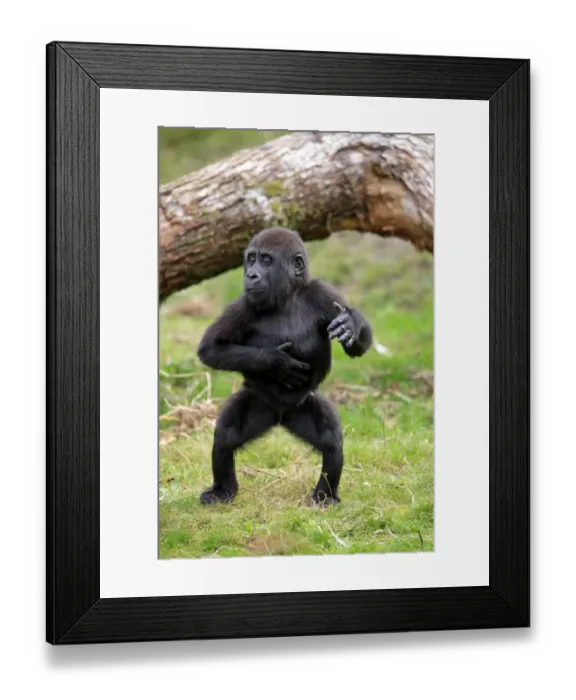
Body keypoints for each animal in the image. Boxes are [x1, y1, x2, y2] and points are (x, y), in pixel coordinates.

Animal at [196, 226, 373, 506]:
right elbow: (211, 349)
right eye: (252, 259)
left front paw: (352, 323)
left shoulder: (325, 294)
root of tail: (279, 417)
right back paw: (222, 491)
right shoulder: (243, 304)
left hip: (301, 405)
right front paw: (276, 361)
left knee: (331, 441)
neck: (287, 296)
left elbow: (357, 349)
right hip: (258, 402)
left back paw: (325, 495)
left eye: (266, 260)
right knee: (226, 435)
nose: (251, 274)